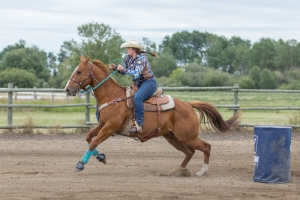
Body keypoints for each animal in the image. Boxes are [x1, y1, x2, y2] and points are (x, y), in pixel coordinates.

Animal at [64, 55, 240, 177]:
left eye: (79, 71)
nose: (67, 89)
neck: (112, 96)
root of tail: (189, 105)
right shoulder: (102, 125)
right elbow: (88, 138)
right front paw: (100, 156)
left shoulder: (110, 127)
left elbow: (93, 142)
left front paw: (80, 164)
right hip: (172, 137)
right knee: (189, 152)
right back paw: (177, 172)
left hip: (187, 136)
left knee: (206, 147)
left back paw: (202, 171)